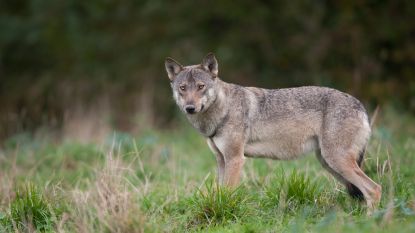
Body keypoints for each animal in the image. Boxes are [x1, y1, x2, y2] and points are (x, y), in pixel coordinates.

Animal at [165, 52, 384, 213]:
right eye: (182, 88)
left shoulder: (235, 159)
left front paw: (224, 212)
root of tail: (360, 106)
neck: (222, 110)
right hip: (329, 164)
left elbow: (228, 192)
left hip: (336, 161)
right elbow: (219, 191)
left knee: (374, 189)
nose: (190, 108)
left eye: (201, 87)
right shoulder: (221, 159)